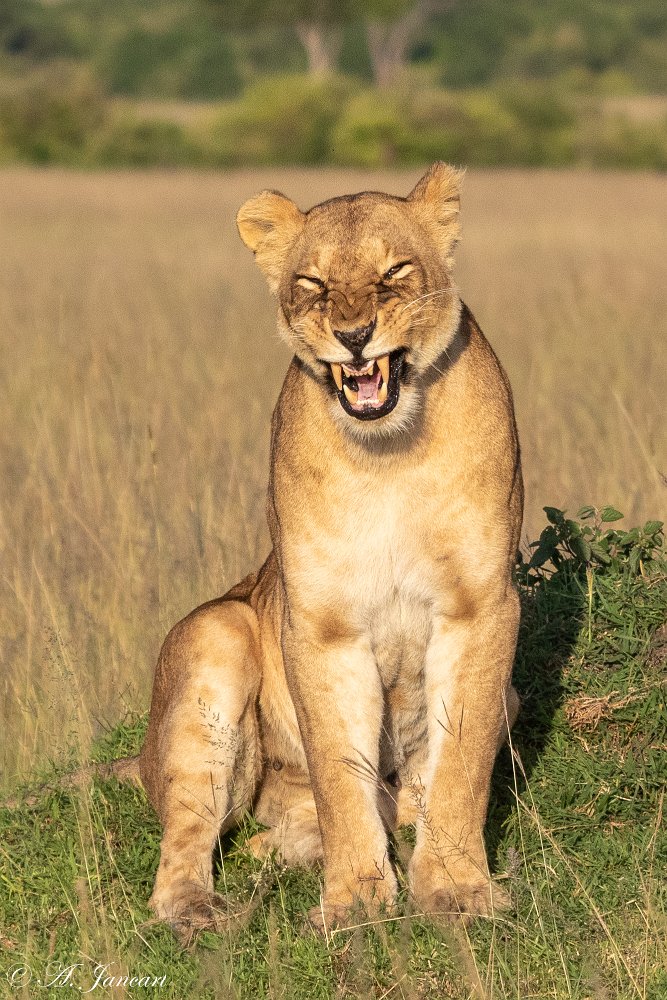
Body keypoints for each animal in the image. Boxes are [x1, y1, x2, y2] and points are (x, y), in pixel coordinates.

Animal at [135, 163, 523, 940]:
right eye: (312, 282)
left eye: (393, 272)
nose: (353, 336)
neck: (389, 455)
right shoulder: (320, 622)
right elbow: (339, 768)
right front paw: (354, 904)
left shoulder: (482, 604)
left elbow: (461, 762)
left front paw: (455, 889)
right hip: (216, 632)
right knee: (188, 837)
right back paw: (197, 912)